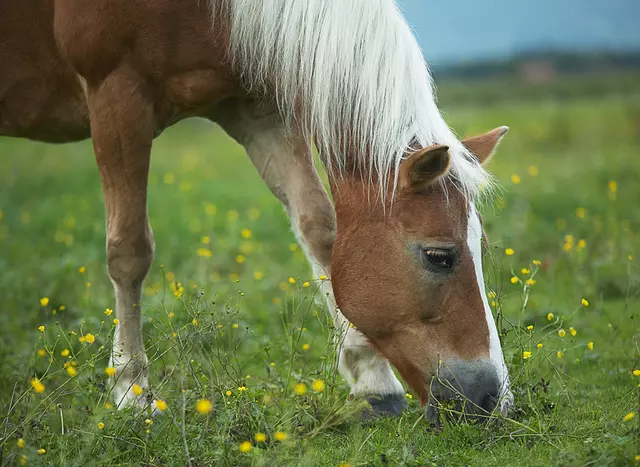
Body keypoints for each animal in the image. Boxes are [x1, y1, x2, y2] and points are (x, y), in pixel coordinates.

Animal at [0, 0, 510, 422]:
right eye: (439, 256)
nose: (493, 398)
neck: (208, 11)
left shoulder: (257, 111)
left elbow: (318, 227)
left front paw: (372, 381)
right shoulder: (116, 96)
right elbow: (129, 251)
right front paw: (132, 390)